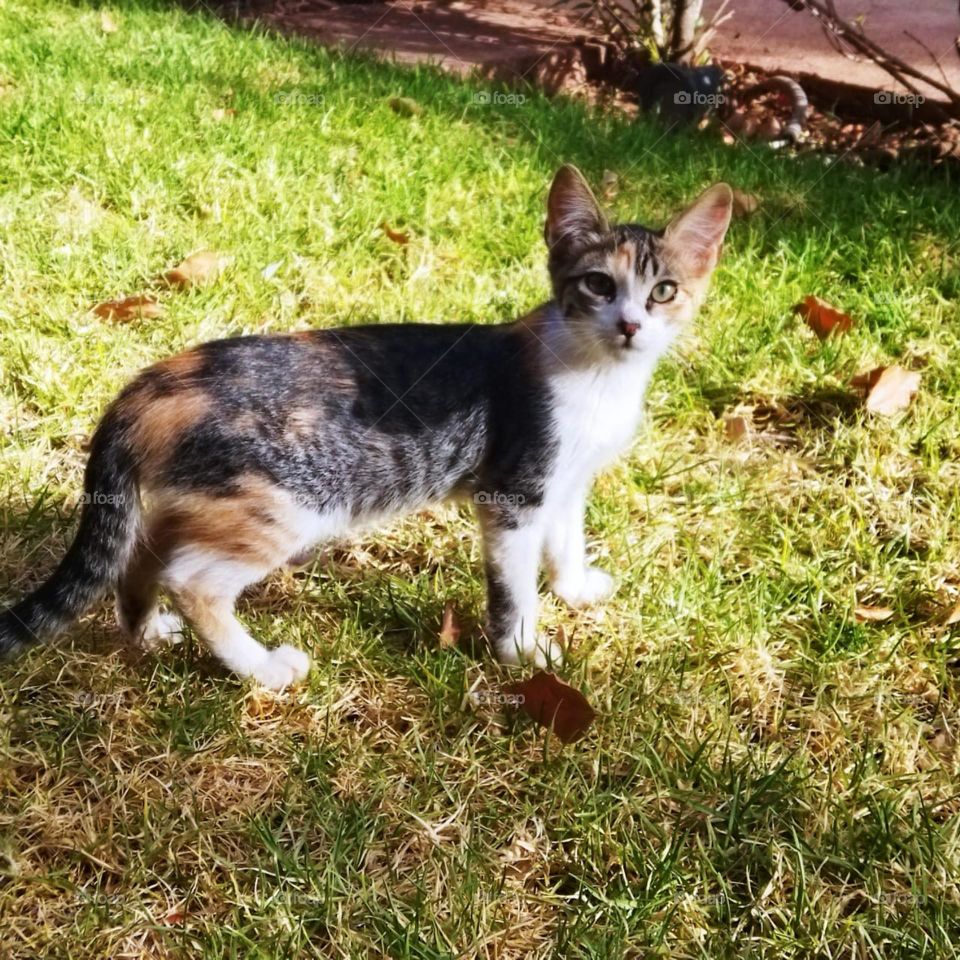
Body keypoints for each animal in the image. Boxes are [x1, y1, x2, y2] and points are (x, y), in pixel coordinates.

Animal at [0, 167, 732, 688]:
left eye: (663, 291)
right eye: (598, 285)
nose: (630, 325)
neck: (600, 375)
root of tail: (151, 381)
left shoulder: (566, 479)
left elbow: (568, 539)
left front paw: (576, 589)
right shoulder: (515, 490)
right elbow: (516, 585)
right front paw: (524, 651)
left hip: (214, 491)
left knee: (147, 544)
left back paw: (146, 631)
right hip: (288, 501)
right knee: (195, 580)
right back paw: (263, 670)